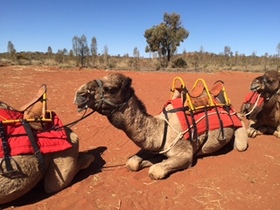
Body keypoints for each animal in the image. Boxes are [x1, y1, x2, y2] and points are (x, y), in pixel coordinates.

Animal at [74, 72, 247, 179]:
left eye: (110, 88)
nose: (79, 94)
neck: (162, 128)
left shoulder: (185, 154)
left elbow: (155, 170)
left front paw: (155, 164)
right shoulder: (154, 145)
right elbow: (133, 163)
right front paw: (150, 160)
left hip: (239, 128)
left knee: (240, 145)